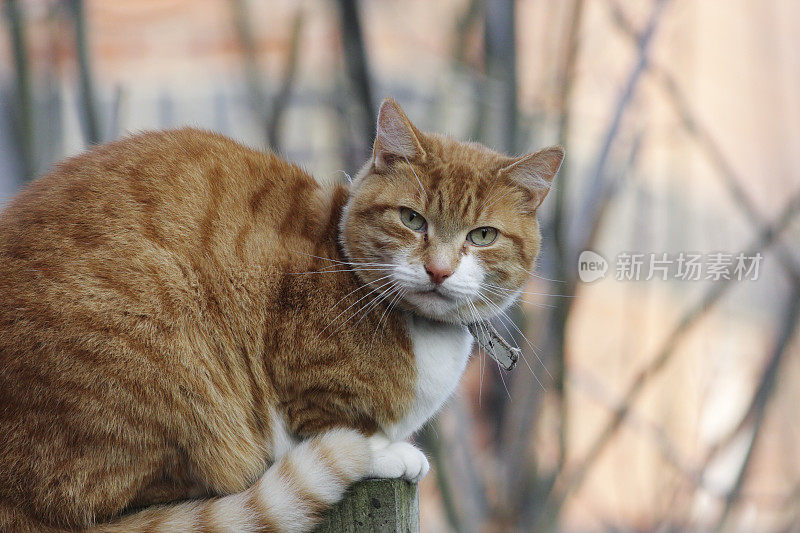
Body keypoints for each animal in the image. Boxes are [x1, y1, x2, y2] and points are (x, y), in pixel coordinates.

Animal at [0, 97, 564, 528]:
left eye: (482, 236)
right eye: (411, 219)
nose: (439, 271)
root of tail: (13, 503)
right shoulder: (310, 389)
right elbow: (338, 428)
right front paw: (387, 453)